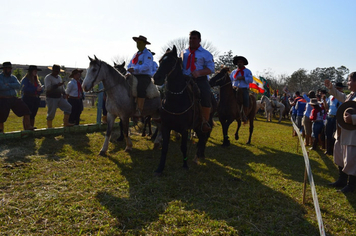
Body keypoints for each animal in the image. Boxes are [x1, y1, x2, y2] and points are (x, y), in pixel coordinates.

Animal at [152, 46, 214, 175]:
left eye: (171, 62)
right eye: (160, 61)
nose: (156, 78)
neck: (176, 100)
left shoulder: (184, 129)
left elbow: (183, 147)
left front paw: (185, 165)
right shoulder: (165, 126)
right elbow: (165, 148)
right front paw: (160, 168)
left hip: (202, 125)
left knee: (203, 138)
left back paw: (197, 157)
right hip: (197, 127)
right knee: (201, 139)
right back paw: (197, 157)